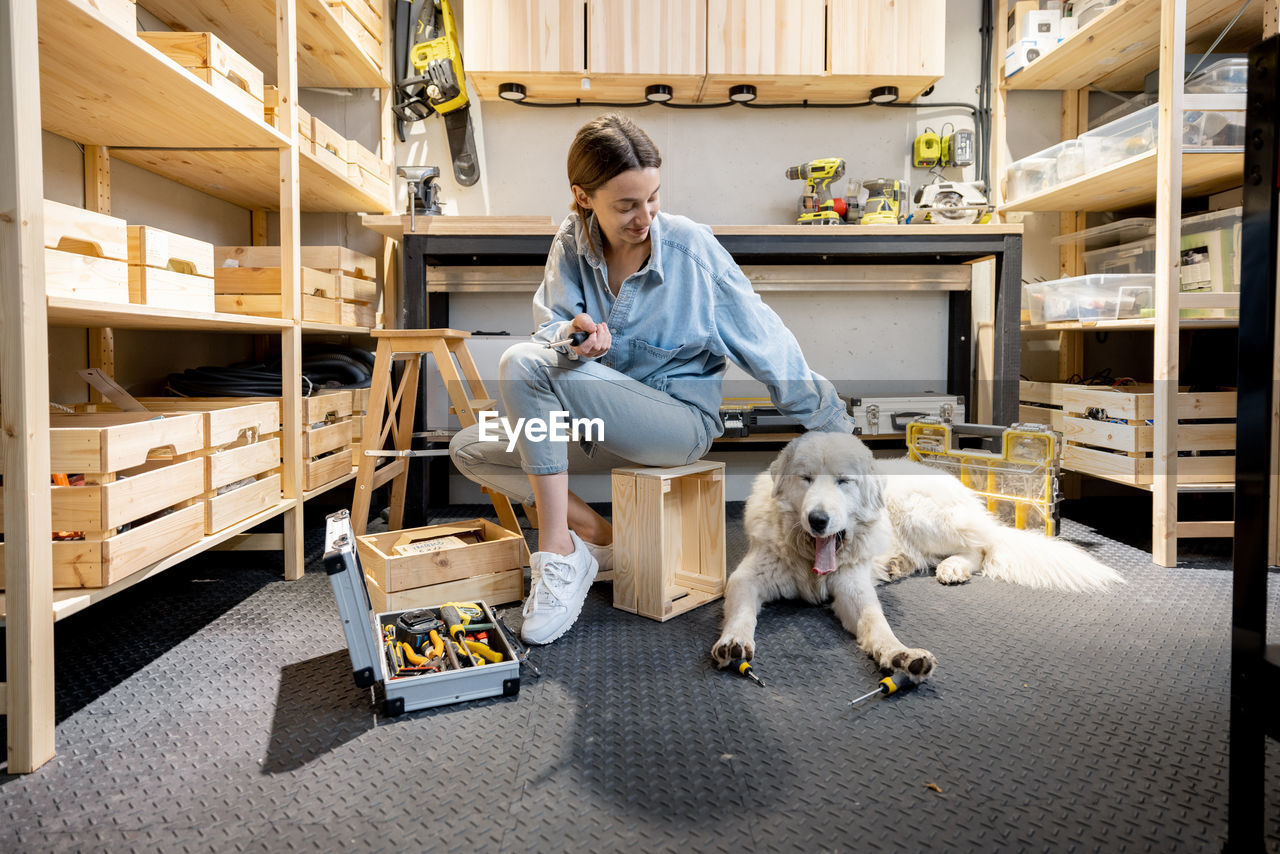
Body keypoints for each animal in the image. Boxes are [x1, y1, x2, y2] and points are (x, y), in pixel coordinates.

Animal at [716, 435, 1126, 681]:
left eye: (844, 481)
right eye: (805, 479)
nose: (818, 520)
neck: (809, 553)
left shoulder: (854, 588)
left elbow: (878, 625)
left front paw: (899, 655)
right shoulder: (746, 579)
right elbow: (742, 613)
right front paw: (734, 643)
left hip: (921, 514)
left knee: (981, 547)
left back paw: (953, 567)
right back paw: (899, 564)